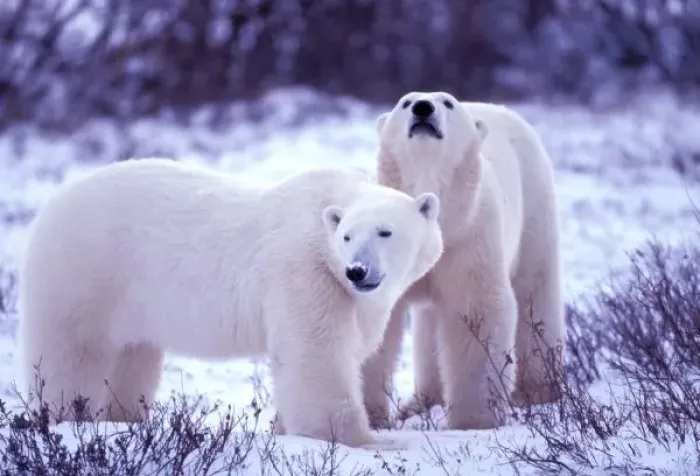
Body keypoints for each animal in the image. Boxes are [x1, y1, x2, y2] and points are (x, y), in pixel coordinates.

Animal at [16, 158, 444, 450]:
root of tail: (49, 206)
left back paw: (123, 421)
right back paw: (68, 419)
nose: (357, 270)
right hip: (84, 273)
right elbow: (317, 354)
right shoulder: (305, 269)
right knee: (73, 356)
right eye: (347, 237)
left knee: (130, 359)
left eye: (385, 231)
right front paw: (365, 440)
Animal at [361, 91, 565, 431]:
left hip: (535, 203)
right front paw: (368, 417)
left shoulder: (469, 237)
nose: (423, 108)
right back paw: (420, 403)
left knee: (534, 293)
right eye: (406, 102)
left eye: (447, 102)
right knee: (430, 327)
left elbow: (476, 312)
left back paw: (538, 392)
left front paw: (474, 420)